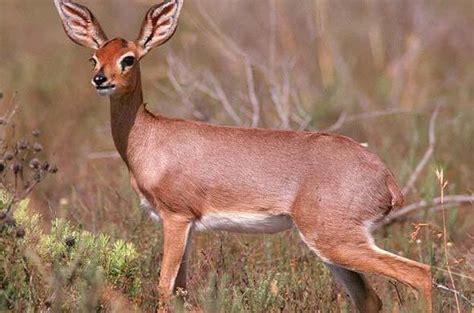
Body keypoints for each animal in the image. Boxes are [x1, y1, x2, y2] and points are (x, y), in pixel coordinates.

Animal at [53, 0, 432, 310]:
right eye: (94, 57)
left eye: (128, 59)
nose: (100, 79)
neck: (149, 137)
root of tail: (386, 179)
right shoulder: (186, 226)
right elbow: (181, 290)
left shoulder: (176, 218)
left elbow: (163, 286)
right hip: (332, 246)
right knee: (370, 298)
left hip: (335, 240)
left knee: (420, 274)